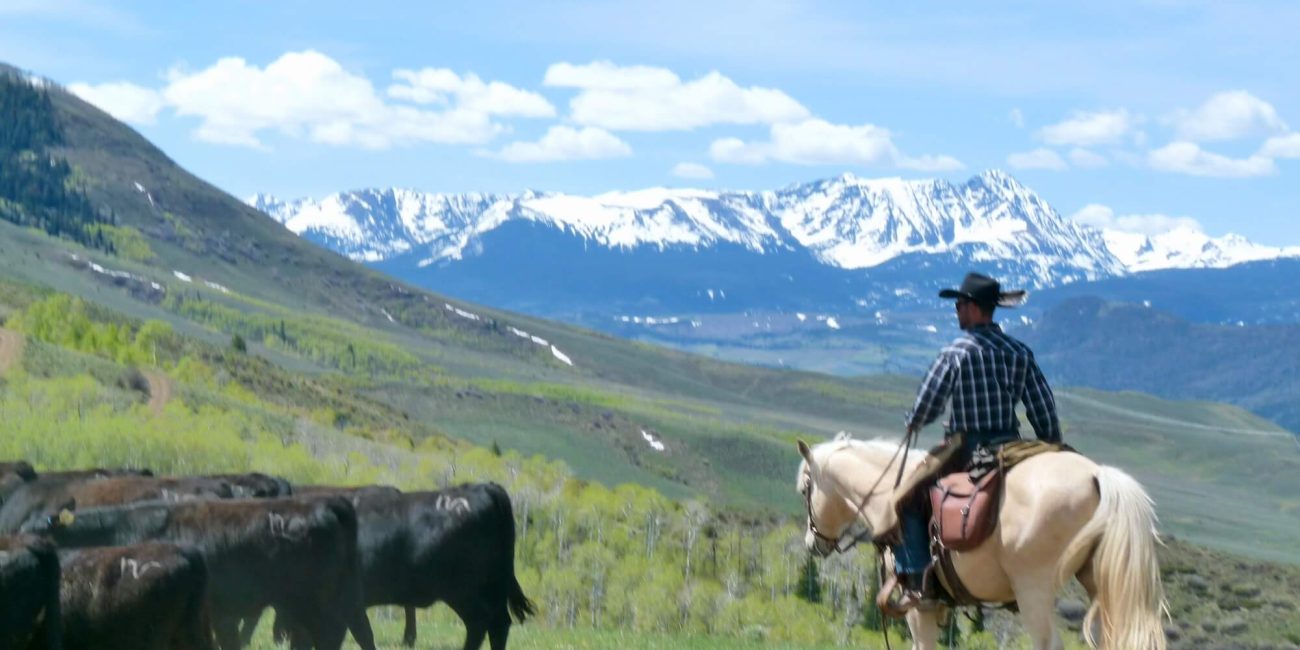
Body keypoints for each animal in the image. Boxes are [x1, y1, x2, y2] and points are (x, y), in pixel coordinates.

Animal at [276, 483, 536, 650]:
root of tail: (483, 488)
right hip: (488, 589)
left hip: (464, 592)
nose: (277, 637)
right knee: (497, 623)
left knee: (483, 622)